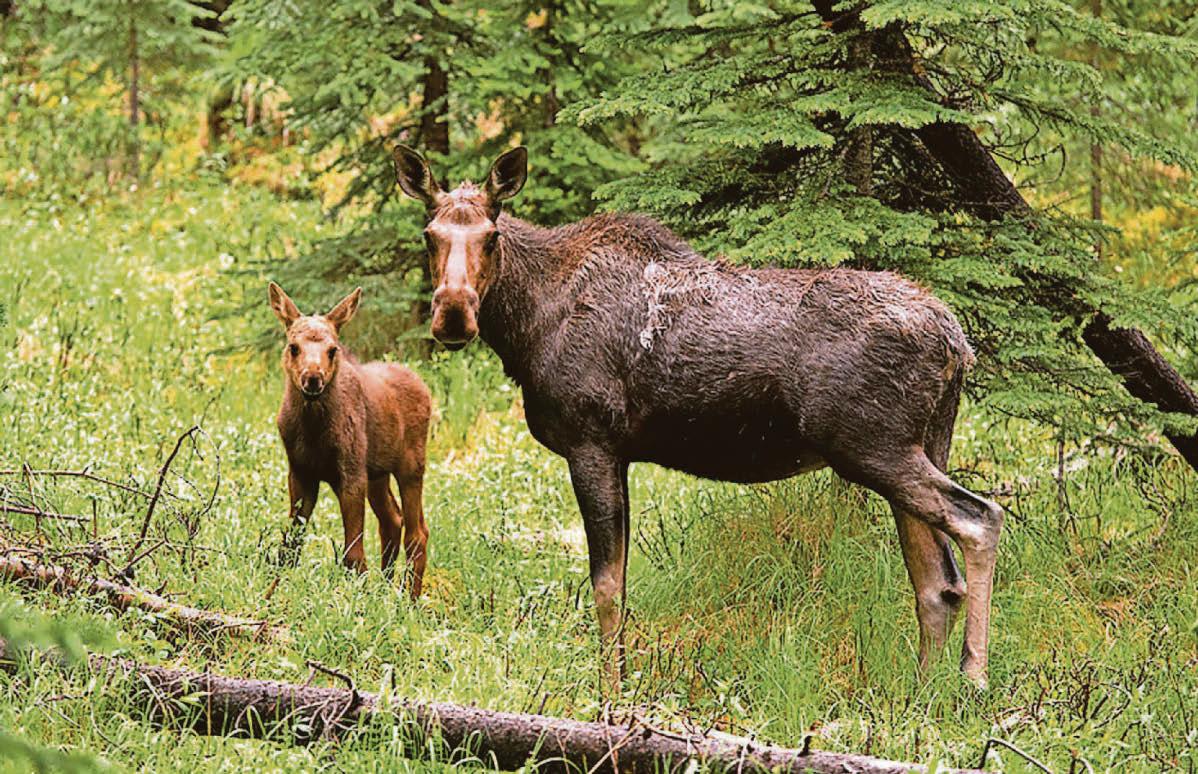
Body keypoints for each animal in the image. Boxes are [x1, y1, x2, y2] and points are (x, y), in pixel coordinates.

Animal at [268, 282, 431, 597]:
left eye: (333, 349)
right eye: (293, 347)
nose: (313, 378)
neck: (313, 431)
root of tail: (424, 386)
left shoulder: (351, 472)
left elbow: (353, 554)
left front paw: (358, 601)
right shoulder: (300, 472)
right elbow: (289, 548)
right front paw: (270, 595)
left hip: (411, 466)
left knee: (417, 533)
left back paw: (408, 600)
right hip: (378, 474)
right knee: (392, 520)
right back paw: (386, 591)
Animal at [392, 145, 1004, 688]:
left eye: (491, 236)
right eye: (429, 235)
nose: (453, 314)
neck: (527, 327)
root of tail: (957, 342)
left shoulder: (591, 441)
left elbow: (606, 587)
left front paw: (611, 696)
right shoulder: (619, 455)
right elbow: (618, 585)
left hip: (873, 446)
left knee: (981, 519)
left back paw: (973, 677)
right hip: (918, 444)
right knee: (936, 583)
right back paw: (919, 699)